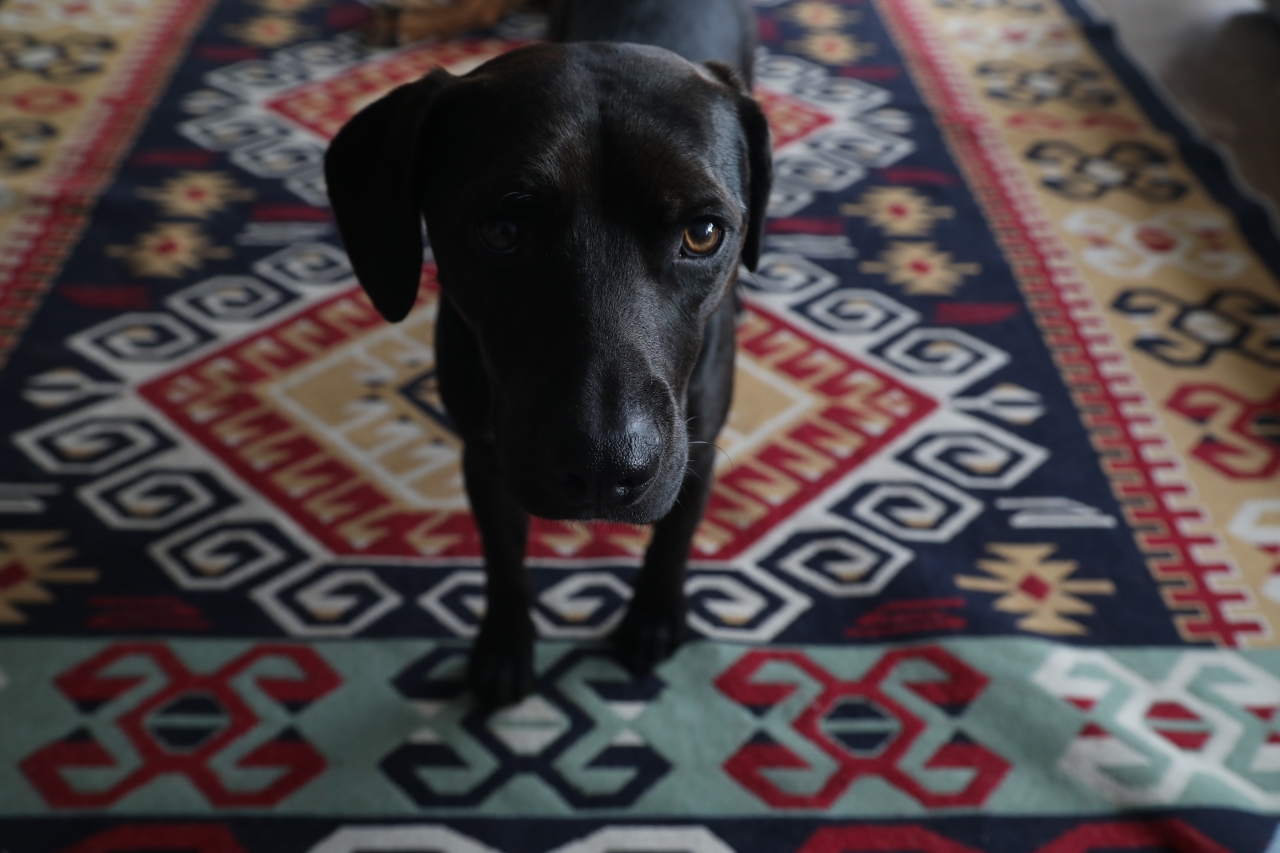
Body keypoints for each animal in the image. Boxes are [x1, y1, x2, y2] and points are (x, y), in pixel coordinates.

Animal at [325, 0, 773, 701]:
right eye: (501, 231)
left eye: (703, 233)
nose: (605, 469)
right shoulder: (485, 455)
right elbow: (503, 560)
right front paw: (505, 649)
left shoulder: (697, 446)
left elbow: (673, 538)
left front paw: (653, 617)